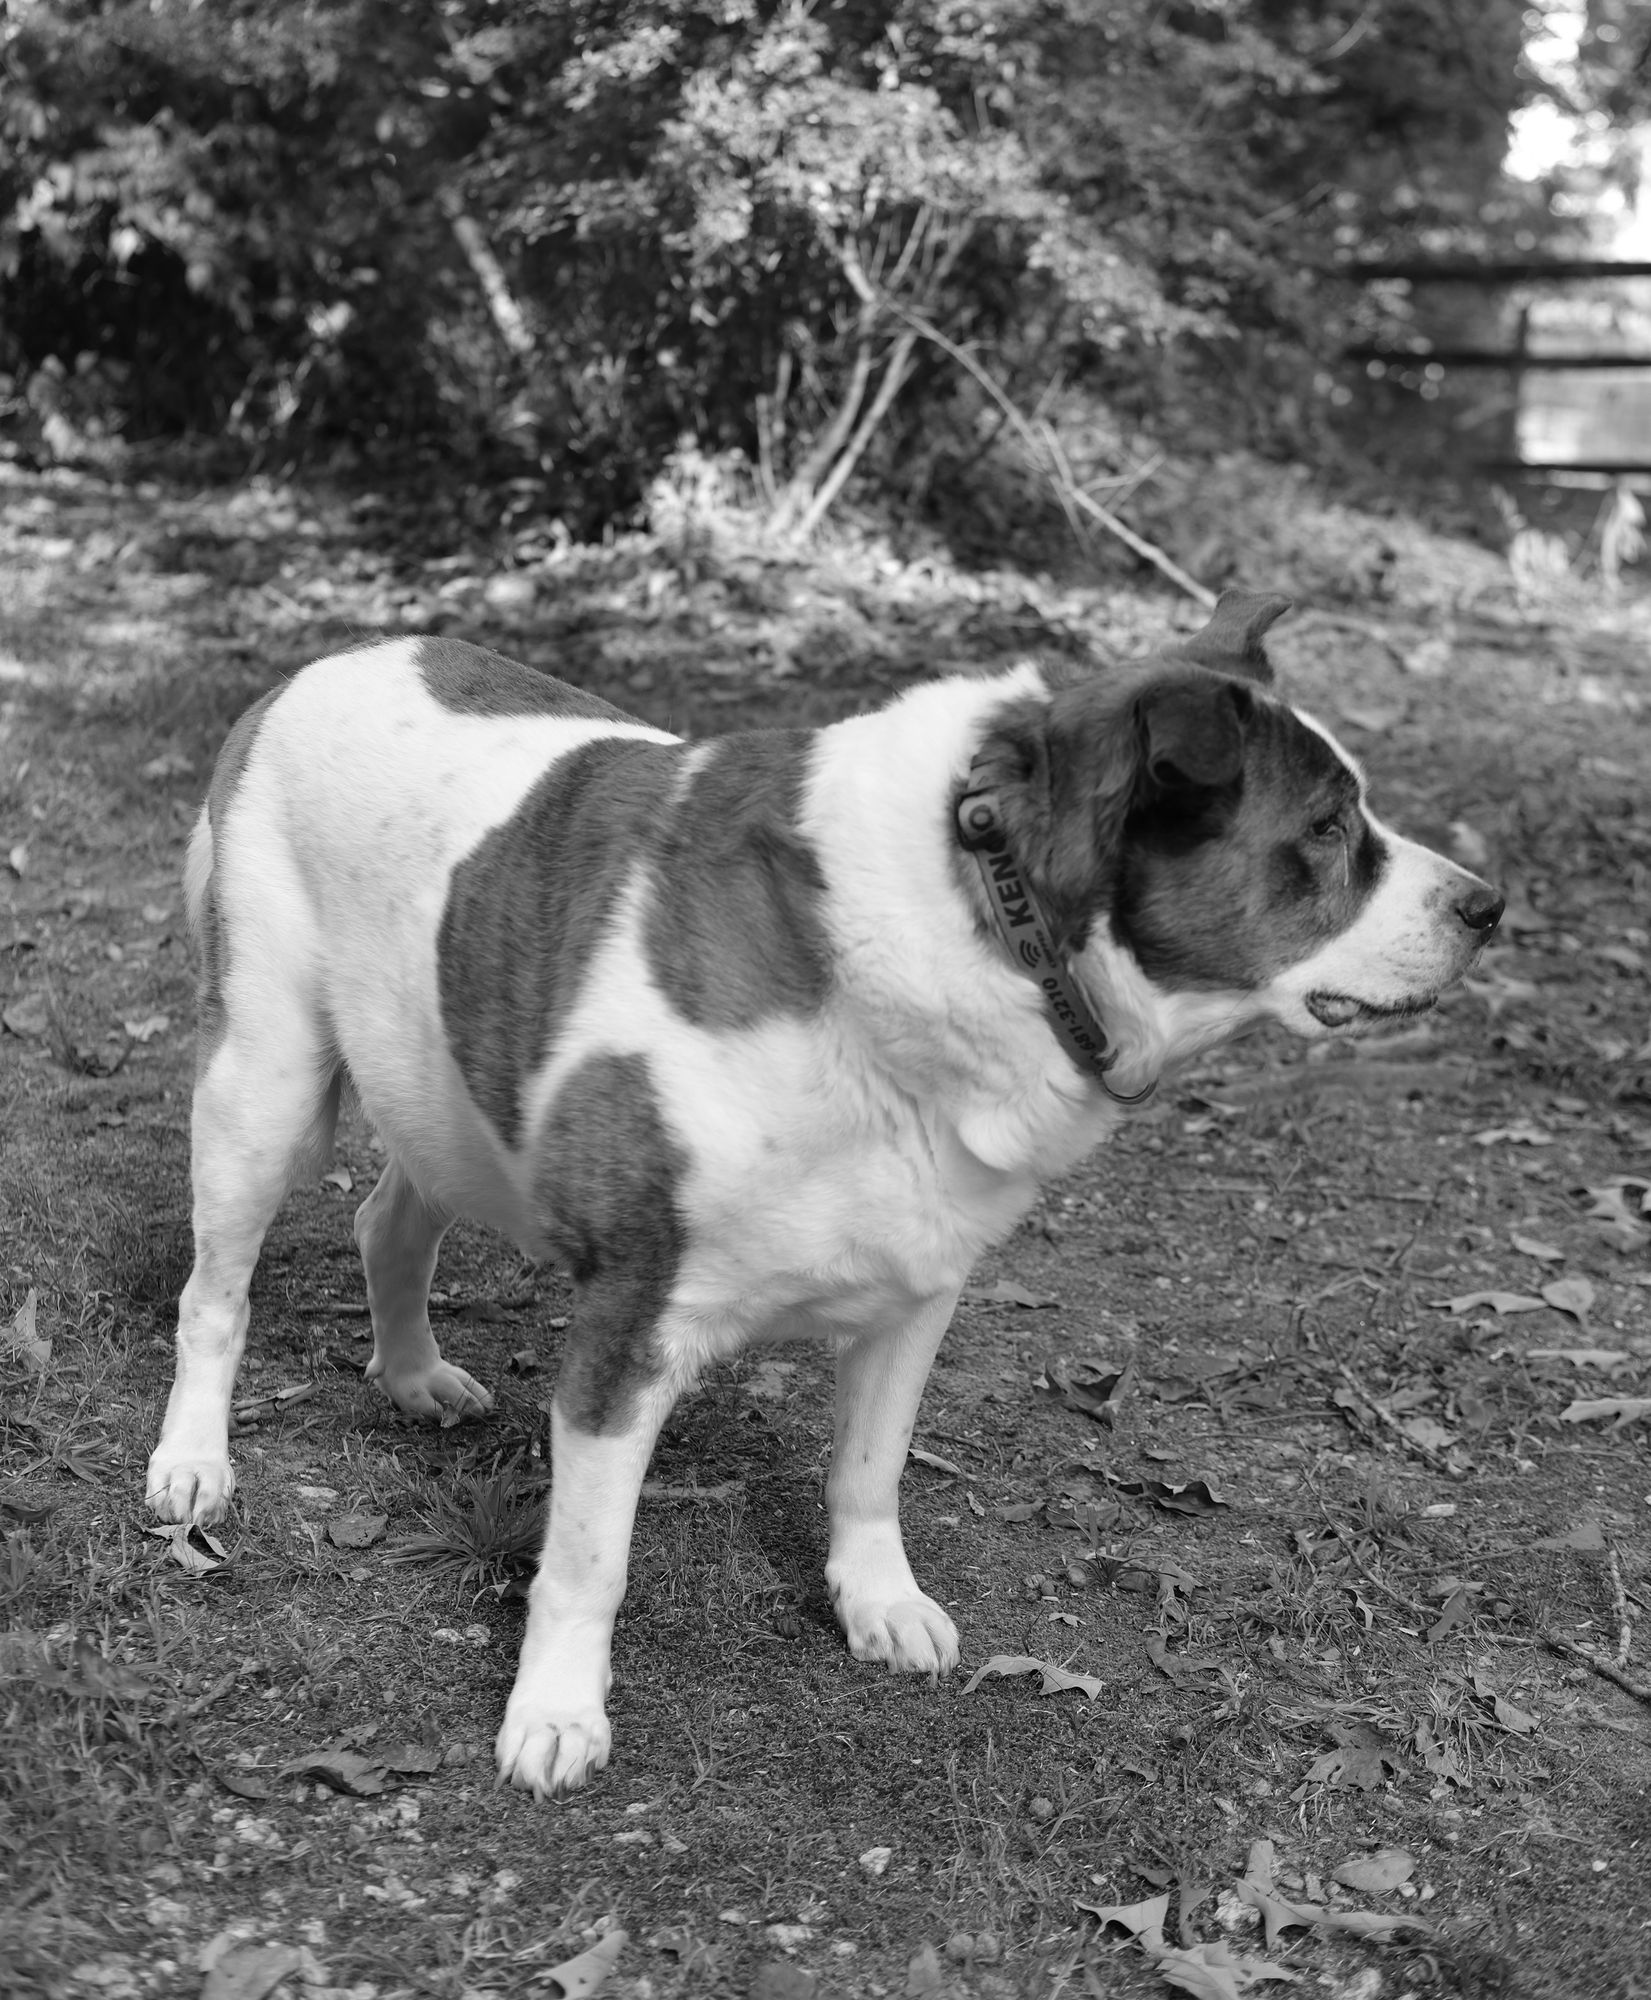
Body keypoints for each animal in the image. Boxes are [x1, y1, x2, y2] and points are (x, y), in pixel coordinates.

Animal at [147, 588, 1495, 1800]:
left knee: (388, 1218)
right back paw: (194, 1460)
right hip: (264, 1083)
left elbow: (868, 1468)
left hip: (445, 1088)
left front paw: (875, 1599)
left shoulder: (915, 1290)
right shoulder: (628, 1321)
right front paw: (556, 1709)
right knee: (215, 1294)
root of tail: (319, 662)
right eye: (1326, 829)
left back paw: (412, 1371)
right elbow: (588, 1559)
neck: (985, 910)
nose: (1488, 904)